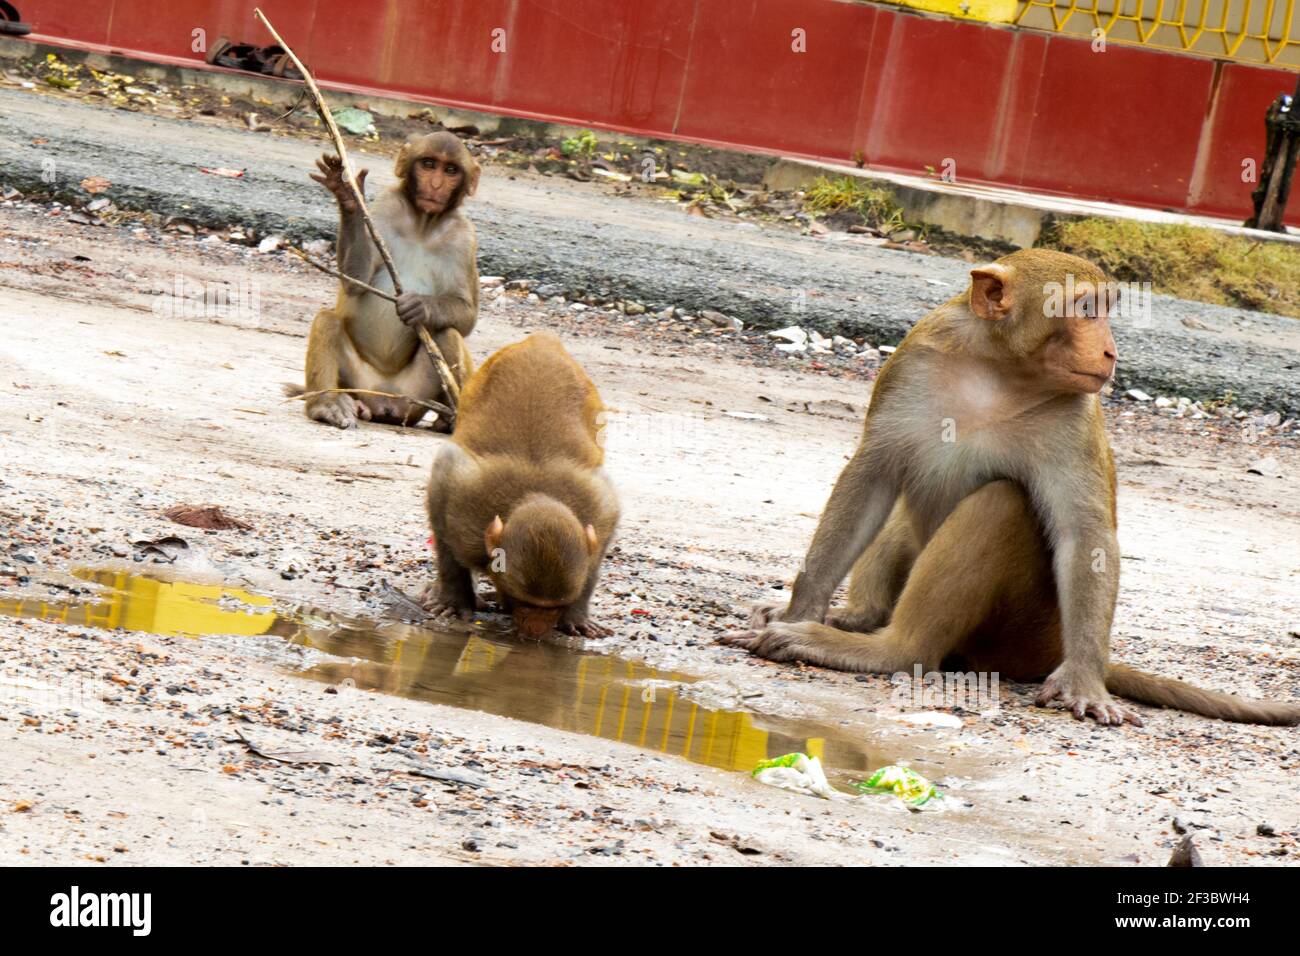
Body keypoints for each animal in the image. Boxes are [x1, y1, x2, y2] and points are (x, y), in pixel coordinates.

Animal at [290, 131, 481, 429]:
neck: (423, 224)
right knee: (327, 320)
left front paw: (419, 307)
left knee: (446, 333)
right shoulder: (386, 206)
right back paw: (327, 405)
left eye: (450, 170)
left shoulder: (464, 237)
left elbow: (466, 314)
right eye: (428, 164)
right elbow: (355, 280)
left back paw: (449, 419)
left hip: (415, 398)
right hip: (357, 382)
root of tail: (384, 401)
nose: (436, 185)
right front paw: (348, 195)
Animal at [423, 332, 620, 639]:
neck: (536, 494)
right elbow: (443, 511)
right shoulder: (466, 505)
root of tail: (542, 340)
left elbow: (594, 558)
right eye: (526, 603)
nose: (536, 630)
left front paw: (576, 616)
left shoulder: (599, 512)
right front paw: (454, 599)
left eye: (553, 607)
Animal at [724, 249, 1300, 727]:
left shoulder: (1075, 416)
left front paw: (1083, 683)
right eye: (1085, 308)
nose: (1110, 352)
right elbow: (872, 478)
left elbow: (1083, 536)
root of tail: (1048, 652)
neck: (998, 370)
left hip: (1025, 632)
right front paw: (801, 608)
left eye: (1105, 308)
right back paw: (858, 619)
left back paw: (890, 649)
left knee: (1000, 503)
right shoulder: (913, 361)